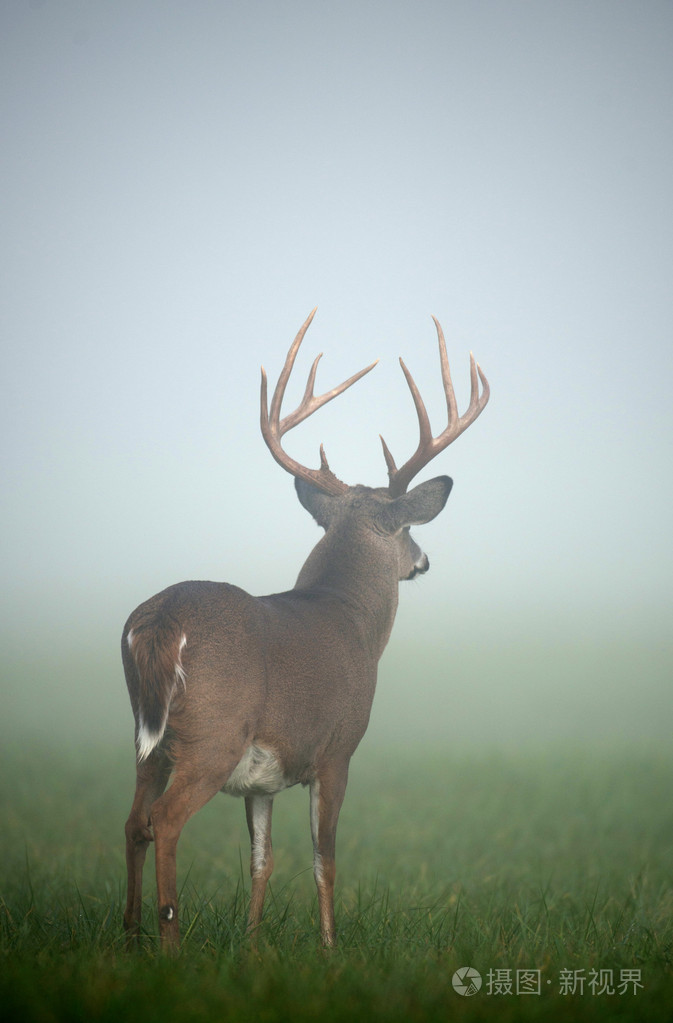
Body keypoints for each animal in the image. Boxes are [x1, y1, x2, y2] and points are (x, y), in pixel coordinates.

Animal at [122, 308, 489, 949]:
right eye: (406, 529)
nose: (423, 561)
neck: (352, 618)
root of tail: (161, 621)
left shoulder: (263, 778)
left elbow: (261, 860)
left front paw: (249, 945)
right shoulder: (336, 749)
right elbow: (325, 859)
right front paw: (330, 948)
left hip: (147, 741)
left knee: (131, 822)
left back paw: (128, 938)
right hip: (212, 737)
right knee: (162, 821)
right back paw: (168, 945)